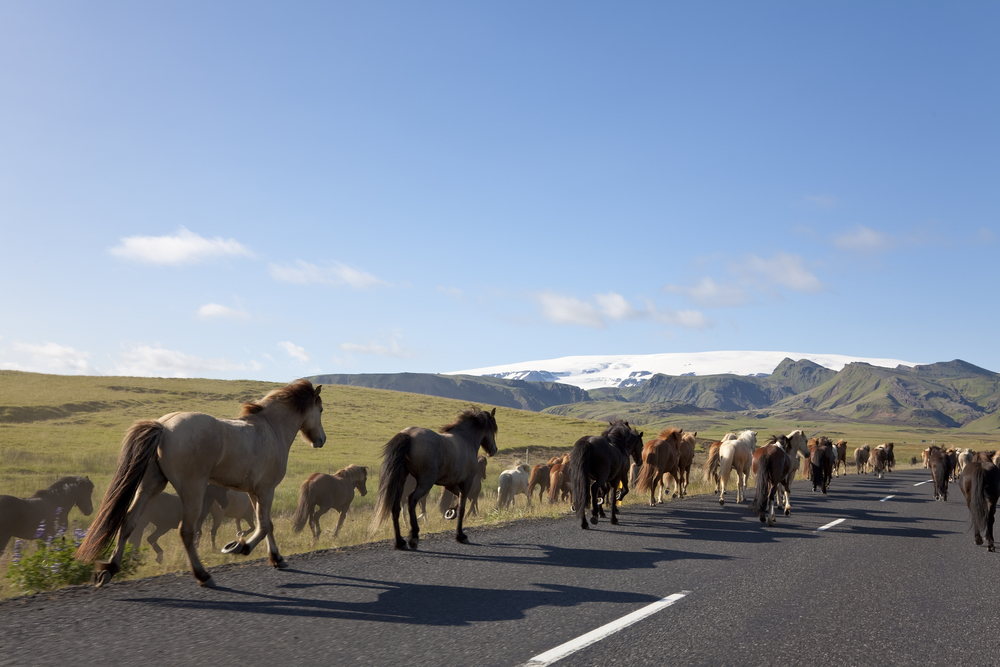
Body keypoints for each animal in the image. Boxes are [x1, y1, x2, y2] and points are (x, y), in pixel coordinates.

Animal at [79, 378, 328, 588]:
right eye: (321, 410)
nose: (322, 440)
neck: (271, 428)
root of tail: (164, 426)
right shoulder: (267, 490)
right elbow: (264, 525)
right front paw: (240, 547)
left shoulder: (254, 492)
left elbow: (265, 524)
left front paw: (276, 558)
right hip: (193, 490)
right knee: (186, 531)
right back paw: (203, 575)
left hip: (152, 485)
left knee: (129, 521)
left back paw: (109, 569)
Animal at [370, 404, 498, 552]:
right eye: (493, 429)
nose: (494, 449)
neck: (465, 440)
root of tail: (408, 435)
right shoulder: (466, 483)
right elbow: (462, 507)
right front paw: (460, 535)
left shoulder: (449, 484)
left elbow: (457, 500)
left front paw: (450, 513)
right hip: (425, 482)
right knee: (411, 500)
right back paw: (413, 537)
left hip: (401, 481)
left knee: (396, 507)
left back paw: (400, 542)